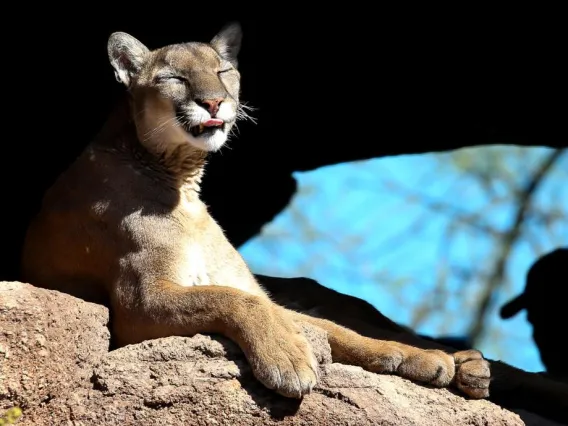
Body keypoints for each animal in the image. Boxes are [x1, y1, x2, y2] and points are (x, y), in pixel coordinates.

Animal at [20, 22, 490, 400]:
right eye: (174, 77)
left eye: (222, 71)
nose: (214, 103)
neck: (182, 180)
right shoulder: (140, 301)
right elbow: (236, 301)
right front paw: (288, 358)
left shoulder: (253, 290)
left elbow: (330, 327)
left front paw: (413, 357)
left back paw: (466, 363)